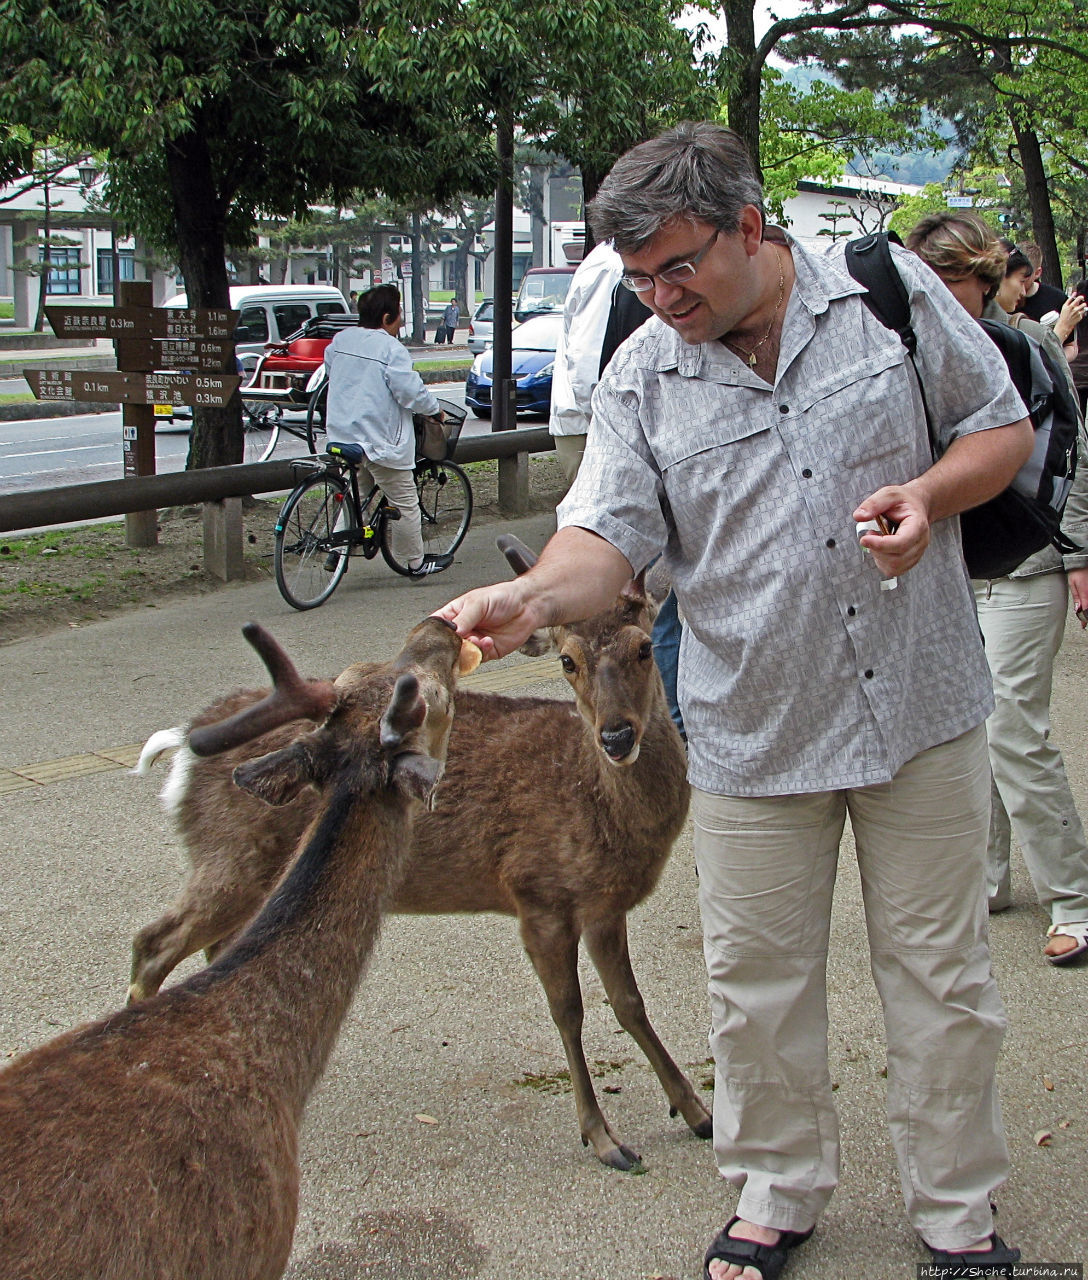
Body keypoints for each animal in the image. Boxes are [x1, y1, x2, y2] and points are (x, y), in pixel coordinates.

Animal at [0, 619, 476, 1280]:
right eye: (435, 699)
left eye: (364, 669)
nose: (442, 626)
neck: (279, 1066)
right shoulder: (259, 1244)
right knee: (156, 938)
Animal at [131, 535, 706, 1172]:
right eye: (567, 661)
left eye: (642, 649)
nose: (616, 736)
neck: (600, 806)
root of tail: (182, 751)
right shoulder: (536, 893)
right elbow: (569, 1011)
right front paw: (603, 1138)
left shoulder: (603, 904)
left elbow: (630, 1004)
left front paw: (696, 1112)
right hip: (230, 857)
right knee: (153, 942)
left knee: (214, 947)